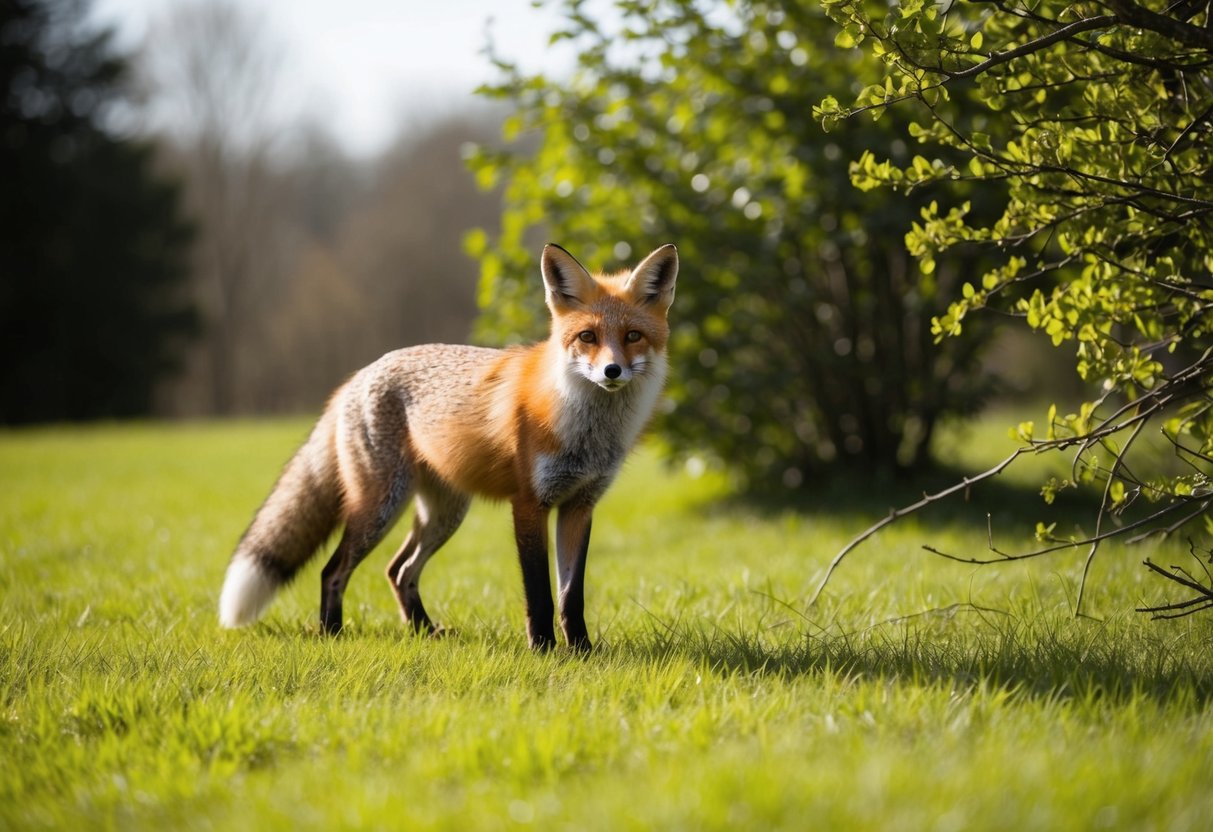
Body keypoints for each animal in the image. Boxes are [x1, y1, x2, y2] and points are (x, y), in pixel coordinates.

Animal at [218, 243, 678, 651]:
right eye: (587, 336)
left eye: (633, 336)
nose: (612, 371)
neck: (585, 431)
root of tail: (359, 374)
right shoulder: (529, 504)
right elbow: (540, 595)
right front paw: (544, 649)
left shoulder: (579, 506)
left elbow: (571, 596)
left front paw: (582, 650)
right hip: (380, 507)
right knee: (333, 571)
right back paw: (332, 633)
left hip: (444, 514)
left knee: (399, 570)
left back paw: (423, 630)